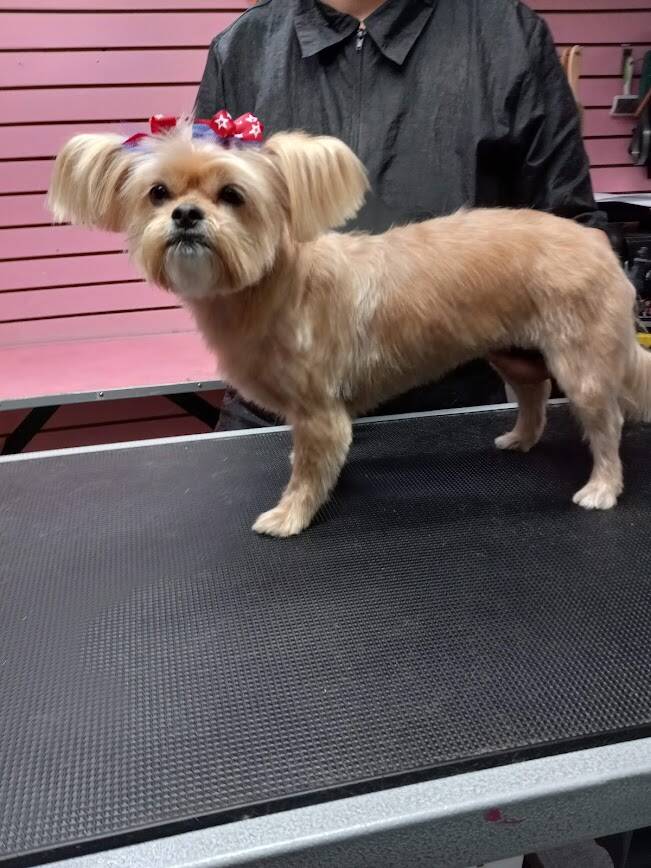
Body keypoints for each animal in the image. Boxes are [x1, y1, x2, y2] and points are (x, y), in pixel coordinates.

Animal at [48, 120, 650, 537]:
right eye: (158, 193)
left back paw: (602, 487)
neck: (268, 287)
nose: (186, 215)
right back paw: (521, 438)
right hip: (514, 353)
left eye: (232, 196)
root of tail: (598, 242)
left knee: (606, 426)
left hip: (583, 366)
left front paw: (290, 515)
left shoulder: (320, 412)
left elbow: (311, 467)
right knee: (533, 394)